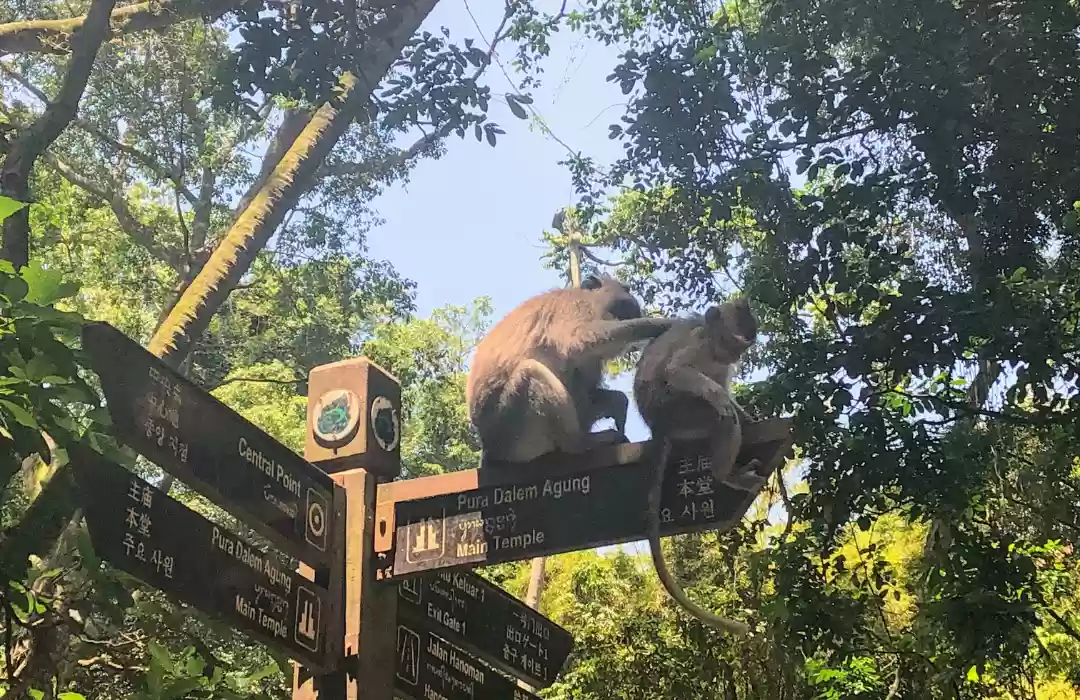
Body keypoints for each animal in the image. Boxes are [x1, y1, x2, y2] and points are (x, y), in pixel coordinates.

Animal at [467, 274, 676, 466]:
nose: (633, 305)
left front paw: (618, 404)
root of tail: (490, 448)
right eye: (626, 289)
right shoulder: (575, 307)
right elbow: (578, 340)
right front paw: (662, 324)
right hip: (510, 428)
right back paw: (579, 443)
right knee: (531, 372)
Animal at [632, 296, 766, 635]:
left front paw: (748, 414)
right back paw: (726, 474)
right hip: (679, 409)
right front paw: (719, 397)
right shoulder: (698, 343)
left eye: (745, 345)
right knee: (718, 420)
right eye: (735, 339)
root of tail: (658, 426)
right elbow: (678, 370)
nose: (737, 356)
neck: (713, 348)